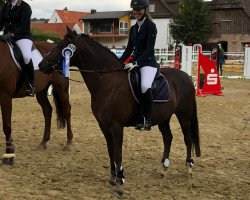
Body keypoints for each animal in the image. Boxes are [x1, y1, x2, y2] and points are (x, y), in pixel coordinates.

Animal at [38, 27, 200, 195]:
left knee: (187, 139)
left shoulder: (117, 126)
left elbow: (118, 153)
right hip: (164, 118)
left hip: (184, 116)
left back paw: (188, 168)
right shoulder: (104, 125)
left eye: (60, 46)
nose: (41, 64)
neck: (108, 81)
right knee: (168, 138)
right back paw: (162, 169)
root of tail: (186, 76)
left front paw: (120, 182)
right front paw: (112, 177)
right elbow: (110, 150)